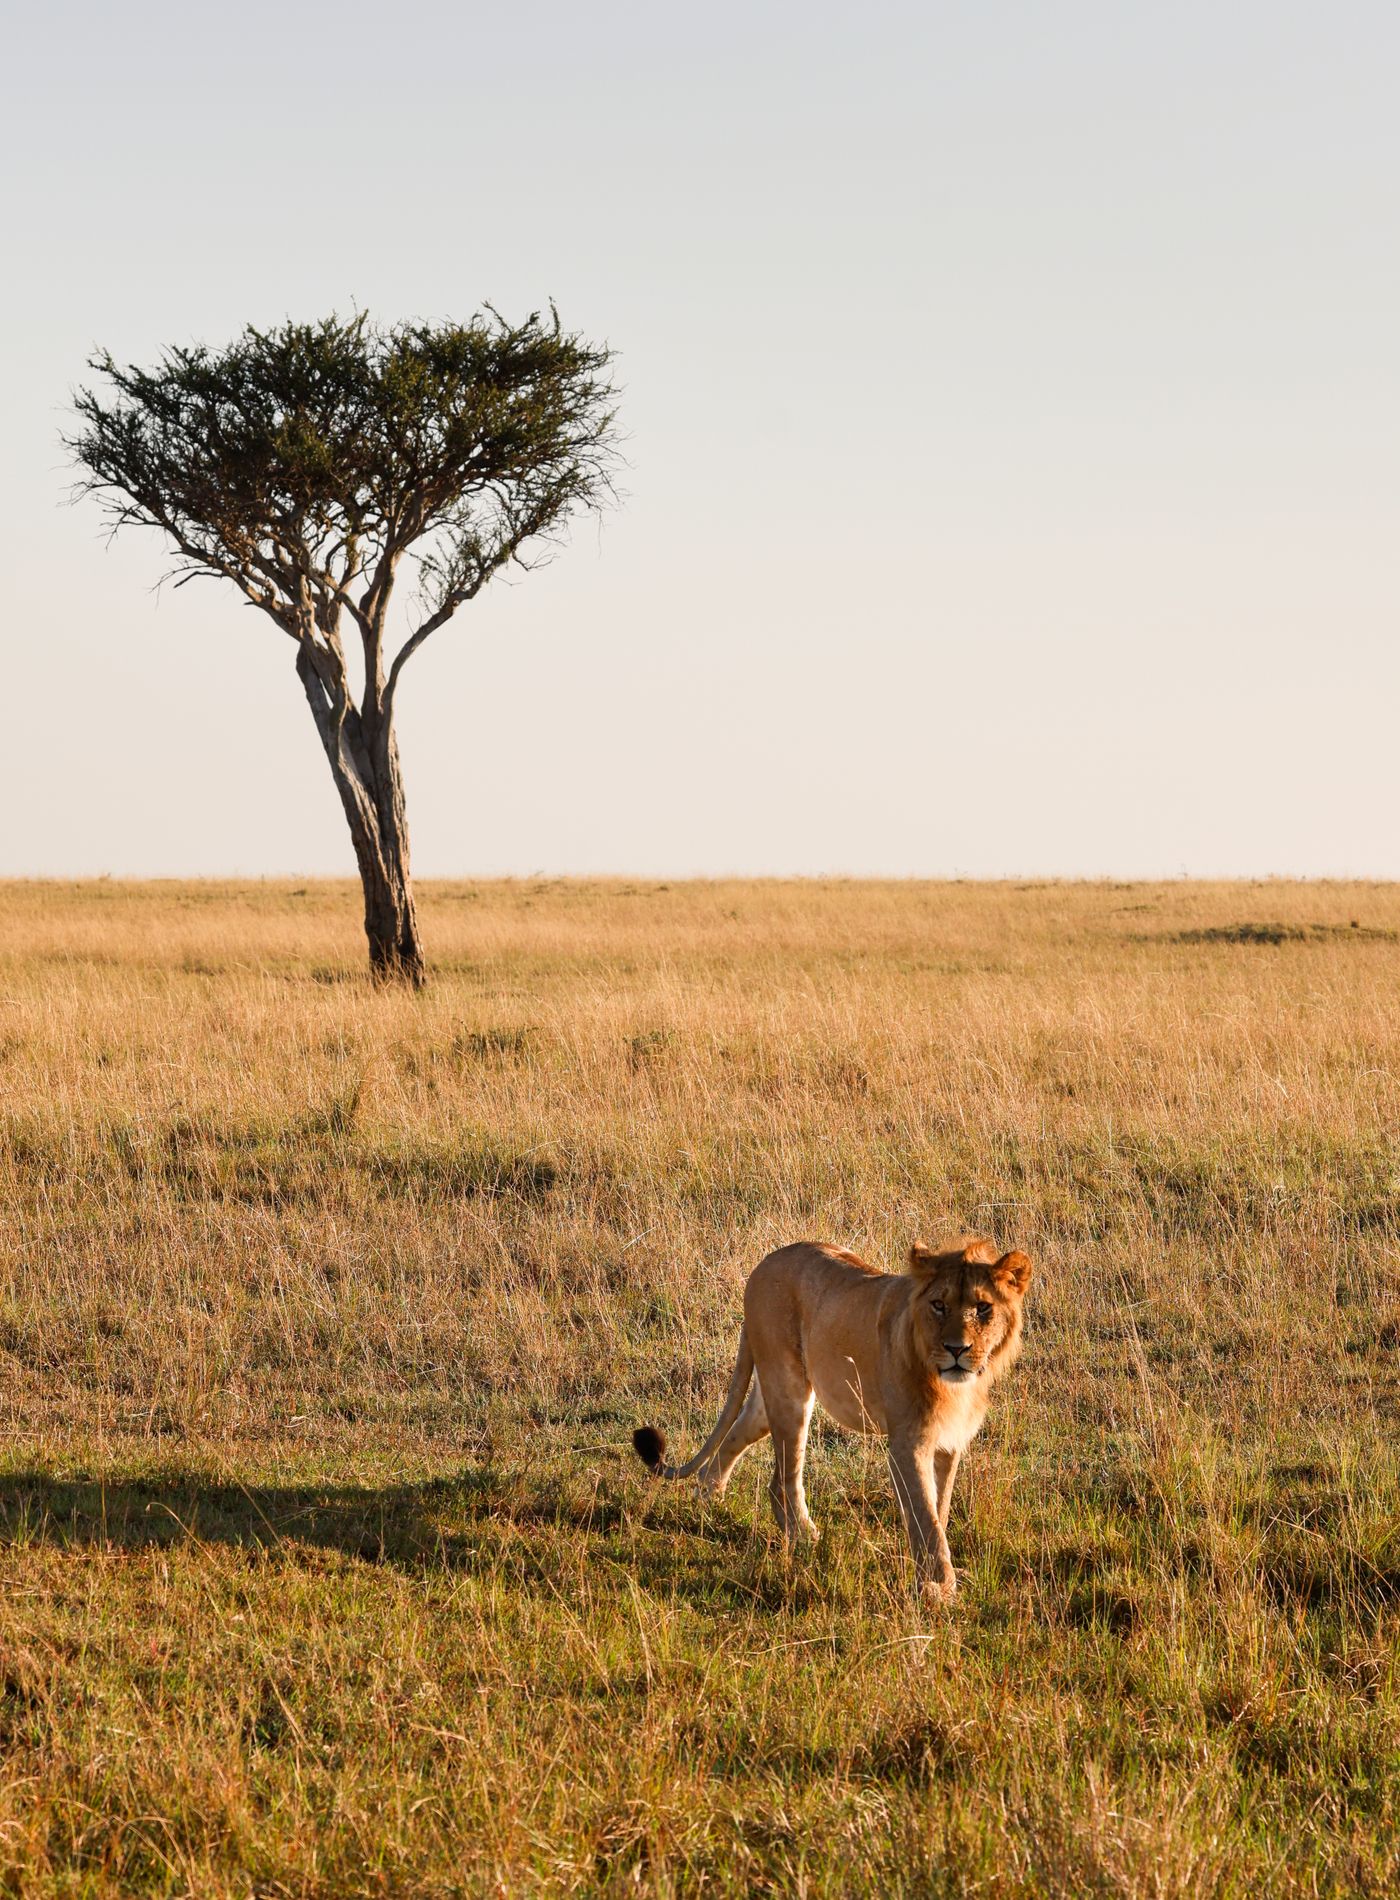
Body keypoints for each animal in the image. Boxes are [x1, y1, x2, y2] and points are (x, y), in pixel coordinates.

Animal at [632, 1236, 1033, 1600]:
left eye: (983, 1308)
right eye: (938, 1305)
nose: (956, 1349)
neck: (954, 1386)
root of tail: (764, 1264)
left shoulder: (948, 1445)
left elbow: (941, 1509)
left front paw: (937, 1578)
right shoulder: (907, 1444)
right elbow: (925, 1518)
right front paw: (938, 1587)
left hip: (768, 1399)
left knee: (733, 1442)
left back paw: (708, 1502)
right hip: (790, 1391)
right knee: (783, 1480)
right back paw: (804, 1537)